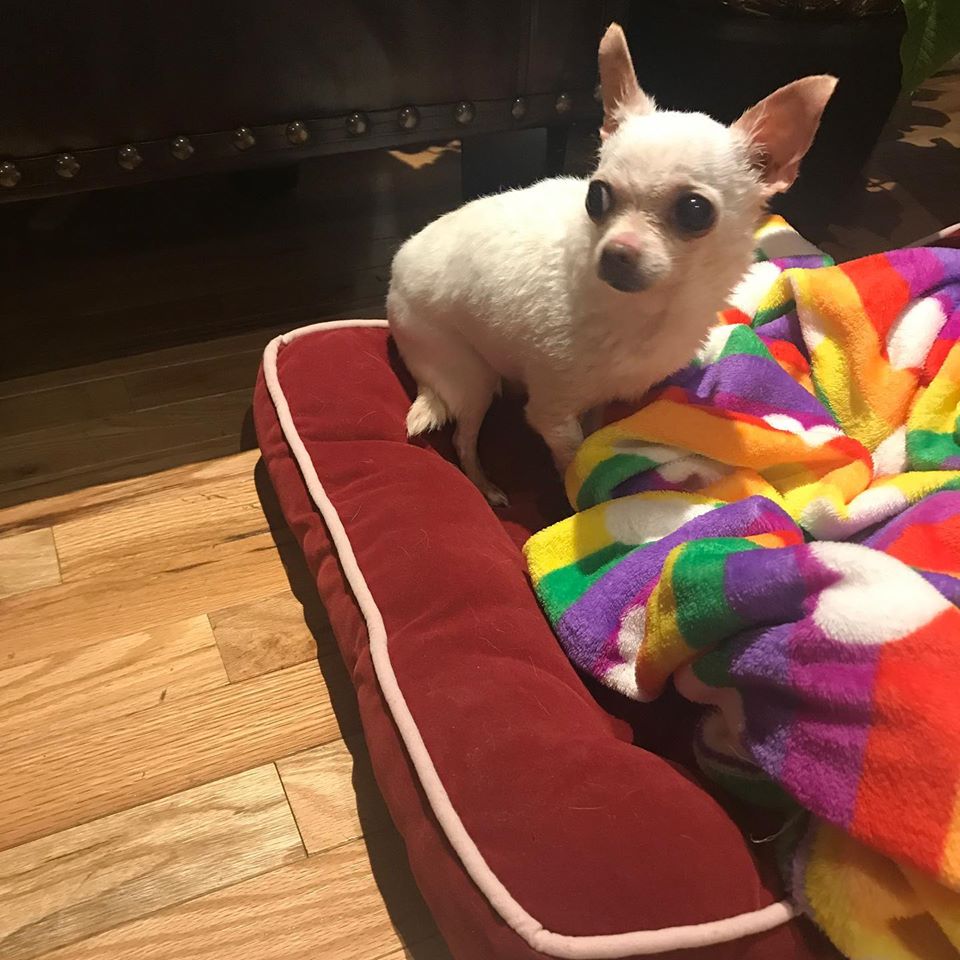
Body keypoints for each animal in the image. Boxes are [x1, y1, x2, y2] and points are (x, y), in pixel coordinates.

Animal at [388, 22, 836, 505]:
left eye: (695, 211)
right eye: (595, 196)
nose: (615, 253)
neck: (648, 313)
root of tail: (395, 270)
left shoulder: (596, 399)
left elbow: (594, 431)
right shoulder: (550, 412)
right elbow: (574, 457)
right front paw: (583, 499)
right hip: (467, 374)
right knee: (463, 437)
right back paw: (484, 486)